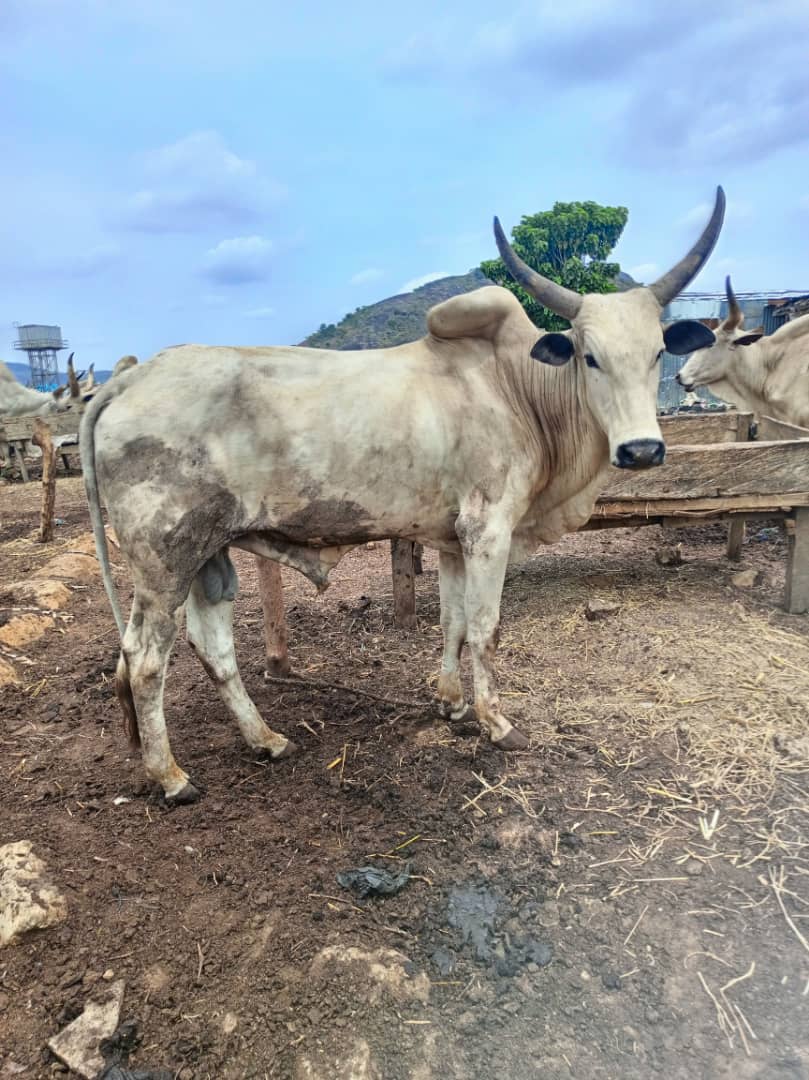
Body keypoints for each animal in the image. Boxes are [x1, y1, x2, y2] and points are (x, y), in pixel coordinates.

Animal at [80, 189, 724, 804]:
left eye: (658, 354)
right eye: (590, 357)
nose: (641, 450)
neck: (517, 388)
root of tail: (129, 377)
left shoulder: (453, 542)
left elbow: (453, 622)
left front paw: (452, 703)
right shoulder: (489, 531)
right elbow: (486, 626)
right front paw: (497, 722)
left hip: (209, 555)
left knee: (212, 647)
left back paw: (266, 739)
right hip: (164, 560)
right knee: (143, 660)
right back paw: (170, 776)